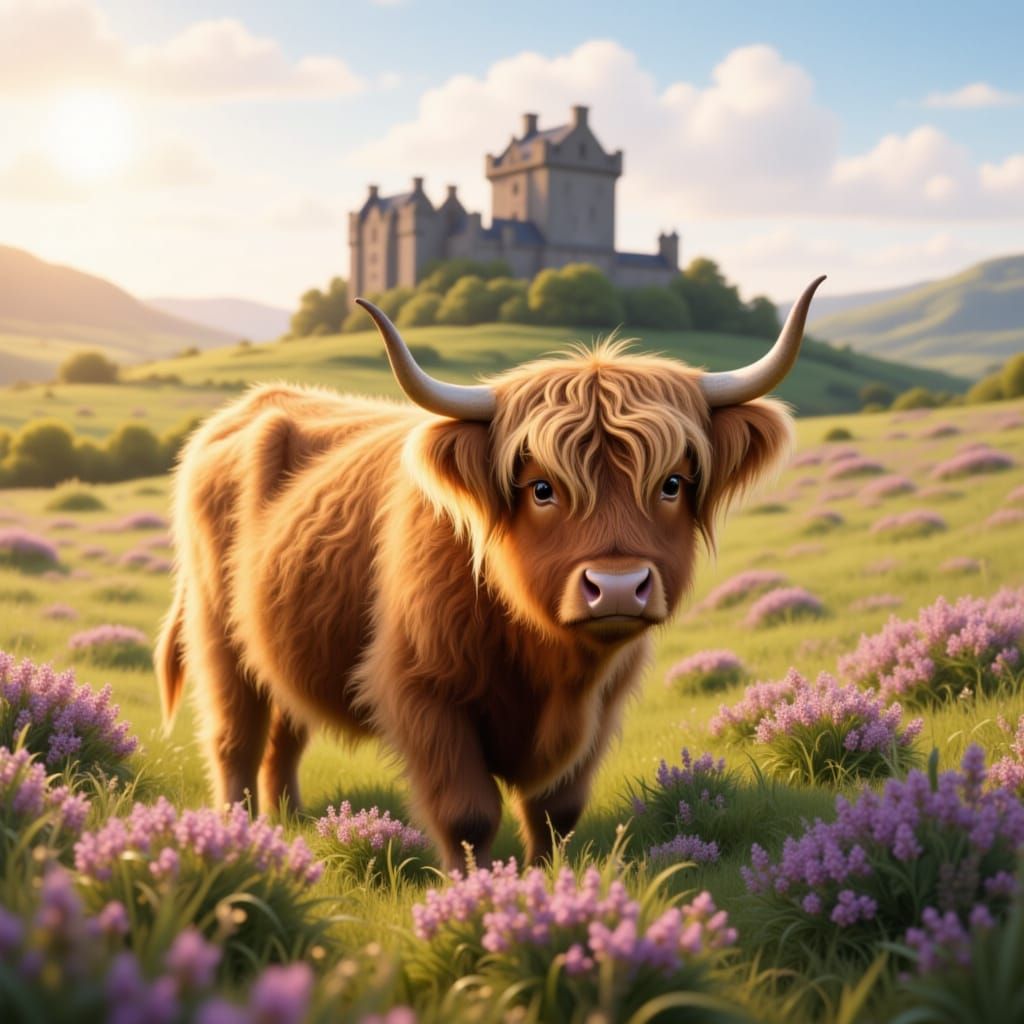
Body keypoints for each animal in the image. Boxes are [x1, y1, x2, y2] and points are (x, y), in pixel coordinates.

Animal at [156, 276, 824, 870]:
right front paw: (474, 892)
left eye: (672, 484)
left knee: (285, 735)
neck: (544, 660)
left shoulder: (601, 704)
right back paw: (241, 835)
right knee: (236, 741)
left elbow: (555, 811)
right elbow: (468, 814)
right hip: (218, 637)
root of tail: (246, 408)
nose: (615, 587)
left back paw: (290, 824)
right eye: (541, 489)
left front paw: (545, 881)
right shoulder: (422, 693)